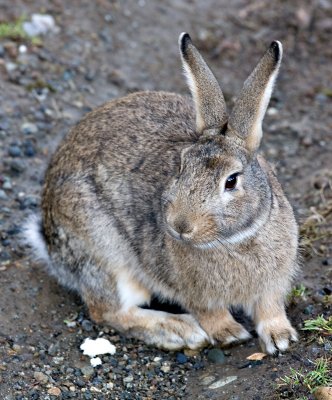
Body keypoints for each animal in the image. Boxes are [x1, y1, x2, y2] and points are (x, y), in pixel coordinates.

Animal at [25, 33, 298, 354]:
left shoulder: (273, 284)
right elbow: (208, 312)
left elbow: (270, 308)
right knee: (108, 311)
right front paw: (229, 333)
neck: (234, 240)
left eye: (231, 181)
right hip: (104, 251)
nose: (180, 226)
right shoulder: (192, 292)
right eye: (181, 165)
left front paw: (280, 338)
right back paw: (178, 331)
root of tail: (49, 241)